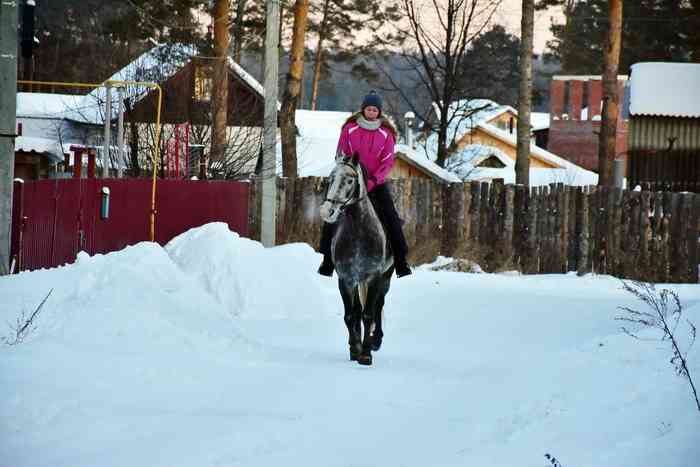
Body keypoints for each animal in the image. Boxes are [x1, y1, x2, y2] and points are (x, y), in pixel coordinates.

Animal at [318, 154, 394, 366]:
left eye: (350, 180)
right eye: (330, 178)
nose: (327, 211)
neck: (359, 230)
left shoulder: (374, 276)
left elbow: (368, 314)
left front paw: (366, 353)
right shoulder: (346, 279)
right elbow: (350, 315)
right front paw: (355, 348)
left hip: (385, 277)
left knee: (378, 305)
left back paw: (376, 341)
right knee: (358, 310)